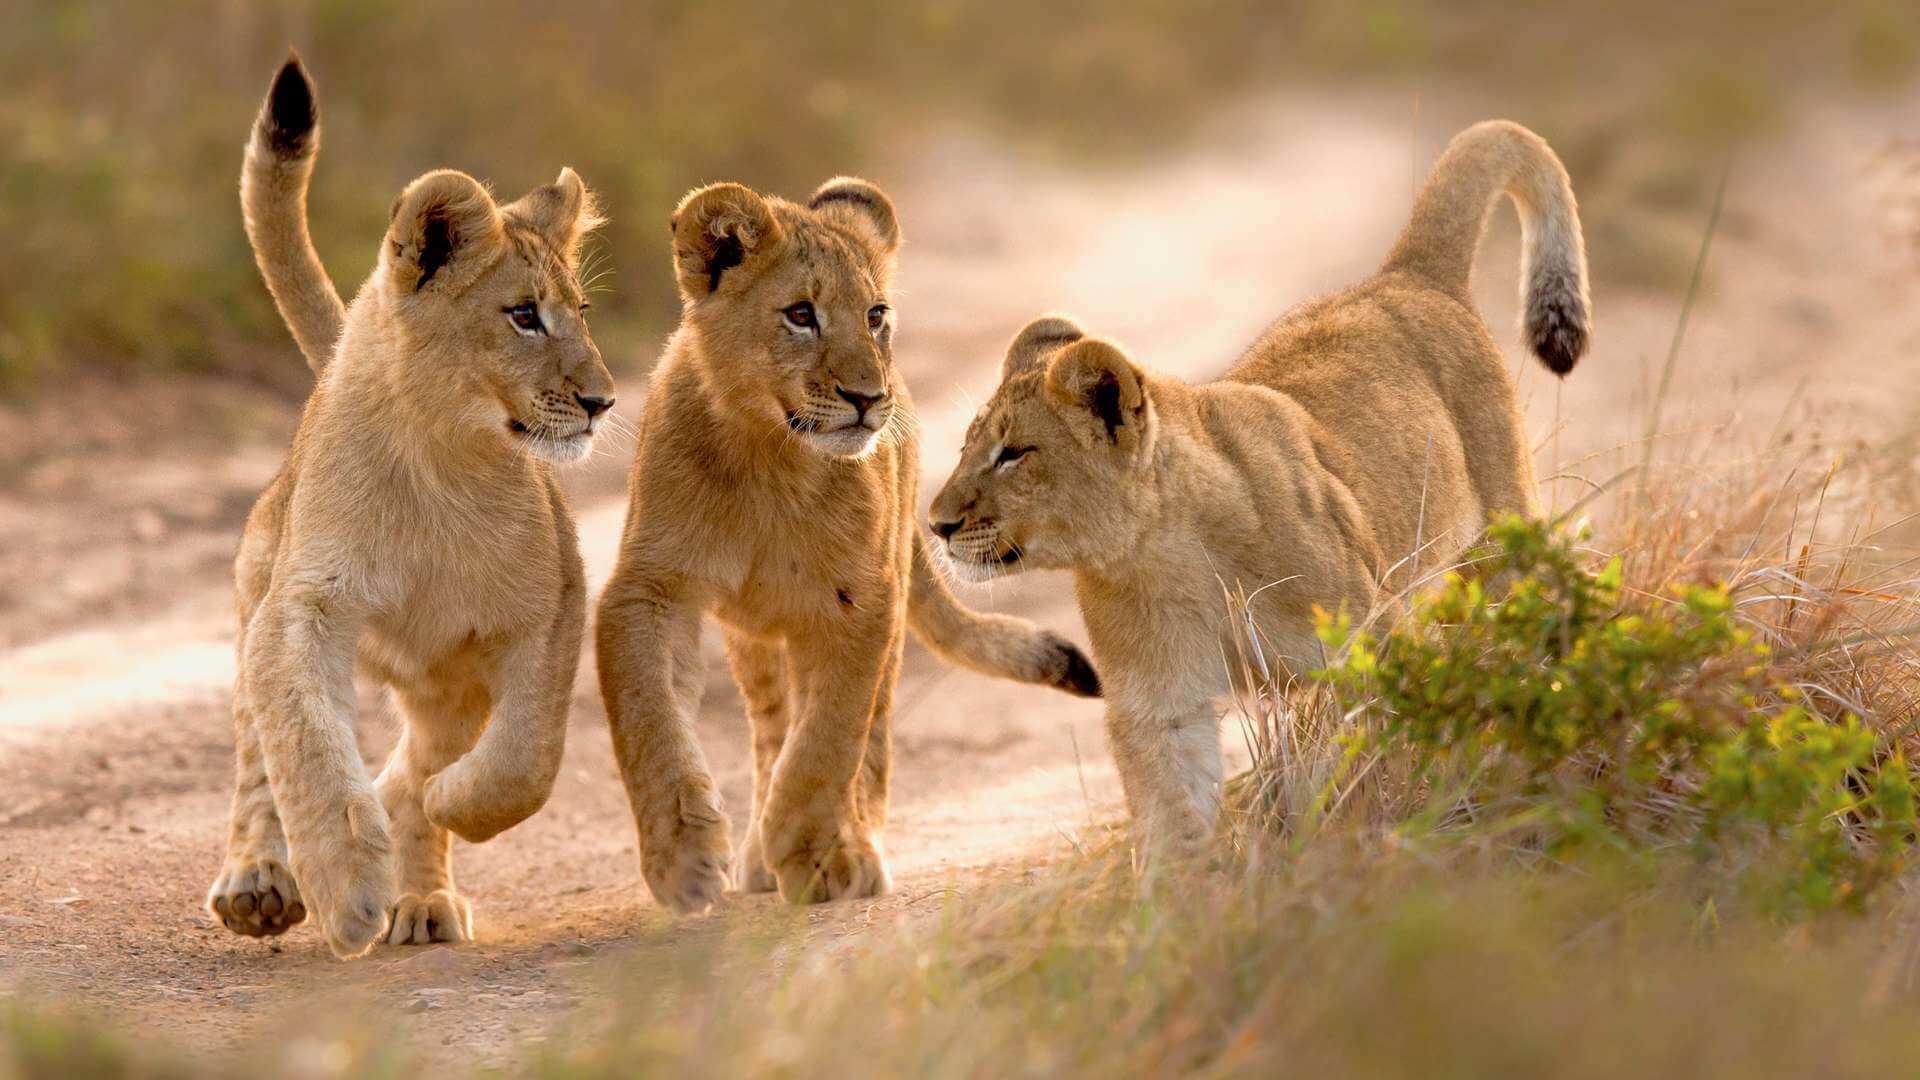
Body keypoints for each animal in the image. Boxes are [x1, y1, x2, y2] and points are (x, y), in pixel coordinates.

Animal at [206, 54, 616, 958]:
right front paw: (347, 886)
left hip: (445, 676)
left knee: (420, 760)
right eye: (524, 315)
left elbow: (525, 760)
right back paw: (260, 882)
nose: (603, 401)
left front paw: (447, 805)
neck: (443, 461)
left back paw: (421, 889)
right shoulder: (304, 605)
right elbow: (306, 741)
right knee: (256, 757)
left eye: (582, 314)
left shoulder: (550, 608)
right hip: (257, 594)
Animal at [595, 177, 1101, 912]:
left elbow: (829, 737)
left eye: (875, 315)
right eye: (800, 315)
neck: (769, 457)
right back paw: (758, 854)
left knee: (868, 732)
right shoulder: (649, 588)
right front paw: (683, 859)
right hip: (755, 639)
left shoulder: (860, 598)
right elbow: (650, 720)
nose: (868, 397)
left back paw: (843, 843)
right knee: (771, 725)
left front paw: (812, 850)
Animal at [927, 120, 1591, 857]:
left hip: (1500, 541)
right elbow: (1173, 816)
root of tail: (1405, 275)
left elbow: (1341, 769)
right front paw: (1185, 886)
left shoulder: (1361, 648)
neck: (1168, 555)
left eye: (1014, 454)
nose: (936, 525)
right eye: (967, 448)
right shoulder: (1160, 704)